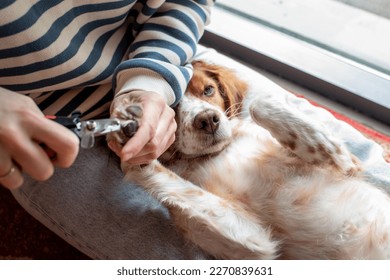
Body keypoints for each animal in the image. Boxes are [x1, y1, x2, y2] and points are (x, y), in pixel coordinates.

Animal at [108, 60, 390, 260]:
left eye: (208, 90)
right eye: (173, 107)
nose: (208, 120)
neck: (216, 152)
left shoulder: (349, 164)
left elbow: (258, 105)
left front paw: (322, 140)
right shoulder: (256, 244)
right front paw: (130, 141)